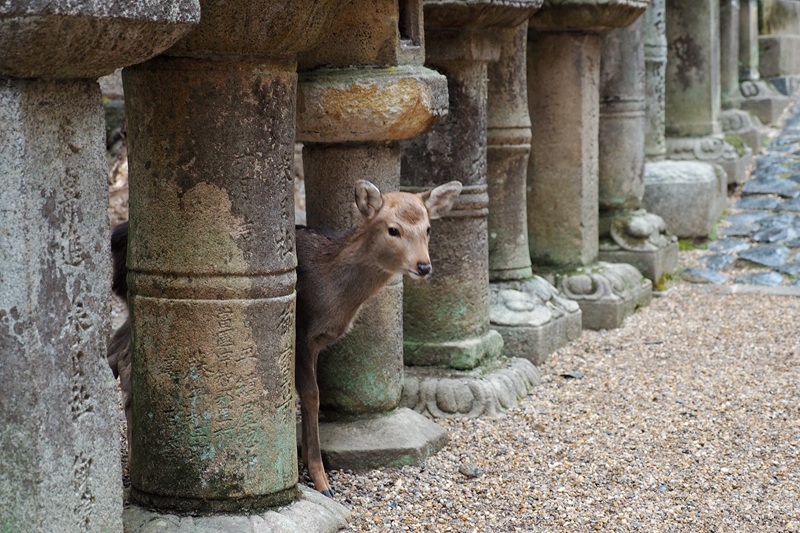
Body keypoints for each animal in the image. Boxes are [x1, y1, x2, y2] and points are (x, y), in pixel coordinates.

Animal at [109, 179, 466, 494]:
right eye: (393, 229)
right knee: (126, 358)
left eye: (428, 228)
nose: (423, 266)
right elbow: (311, 396)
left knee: (117, 350)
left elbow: (309, 397)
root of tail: (116, 238)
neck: (333, 293)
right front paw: (321, 480)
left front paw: (310, 463)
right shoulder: (302, 332)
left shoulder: (316, 342)